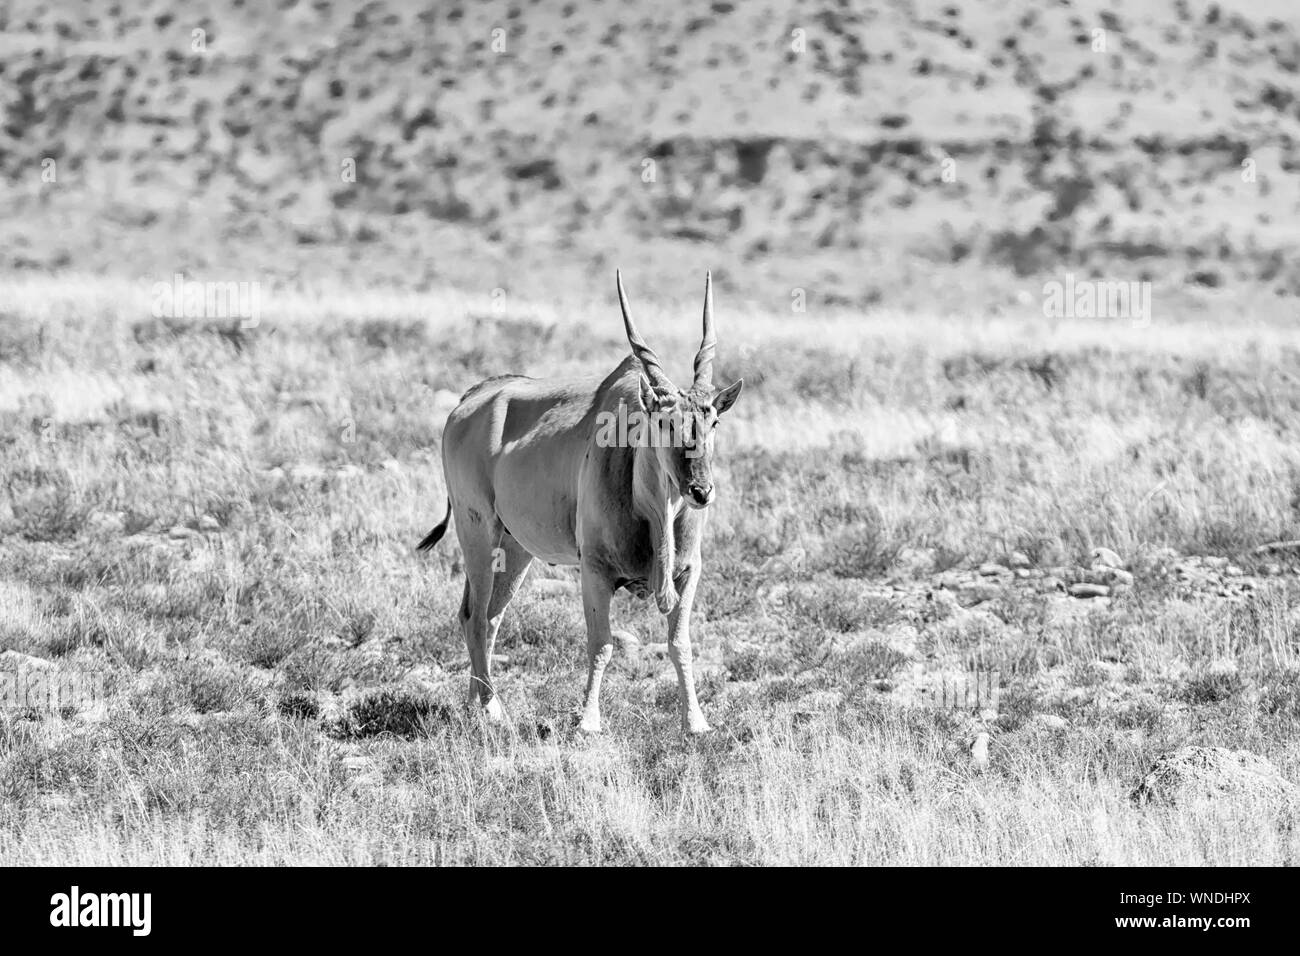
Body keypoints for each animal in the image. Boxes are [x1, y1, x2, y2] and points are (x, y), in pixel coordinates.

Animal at [416, 273, 743, 738]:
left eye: (713, 420)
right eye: (664, 421)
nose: (700, 491)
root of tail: (467, 402)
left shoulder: (688, 573)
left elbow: (679, 643)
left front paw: (695, 722)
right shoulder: (595, 571)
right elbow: (602, 644)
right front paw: (588, 721)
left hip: (515, 548)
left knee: (486, 615)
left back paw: (476, 702)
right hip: (477, 530)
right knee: (475, 616)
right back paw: (493, 710)